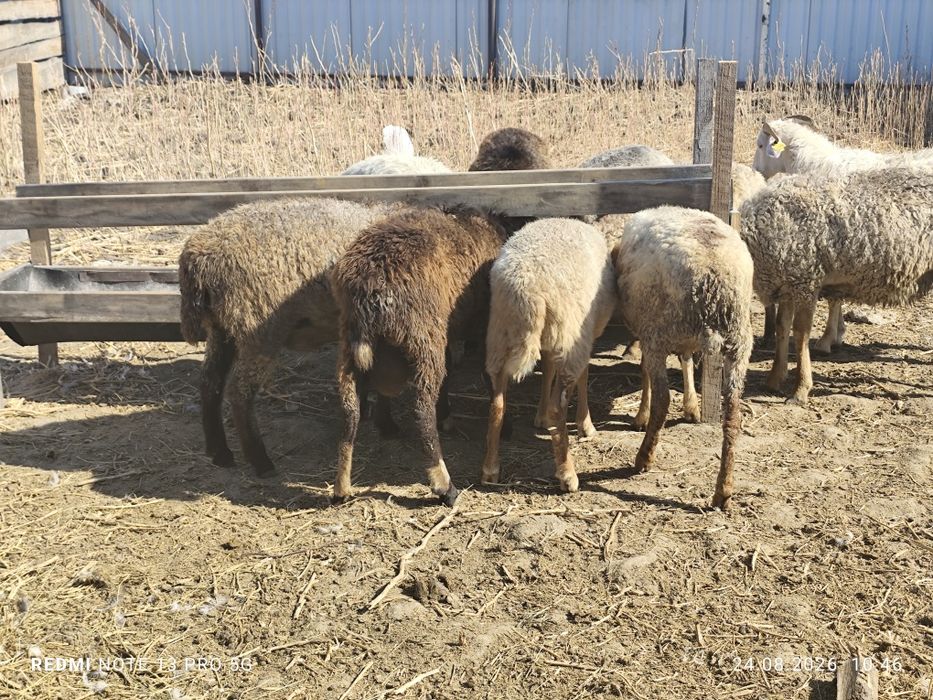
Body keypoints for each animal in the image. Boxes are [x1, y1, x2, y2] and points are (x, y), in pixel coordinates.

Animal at [331, 127, 550, 506]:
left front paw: (448, 413)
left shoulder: (452, 325)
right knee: (421, 408)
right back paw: (444, 484)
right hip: (421, 336)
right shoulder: (482, 322)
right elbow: (489, 378)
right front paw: (503, 426)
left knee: (350, 409)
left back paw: (343, 485)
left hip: (351, 340)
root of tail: (369, 288)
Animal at [480, 218, 616, 492]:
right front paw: (585, 425)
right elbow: (584, 376)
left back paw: (490, 470)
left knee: (497, 405)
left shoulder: (551, 341)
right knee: (559, 407)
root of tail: (528, 289)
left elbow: (547, 371)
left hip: (501, 335)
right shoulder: (585, 334)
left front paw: (540, 417)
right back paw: (567, 475)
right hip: (568, 333)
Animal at [613, 206, 754, 510]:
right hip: (739, 341)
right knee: (733, 413)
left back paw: (643, 458)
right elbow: (686, 360)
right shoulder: (682, 339)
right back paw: (723, 490)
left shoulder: (649, 333)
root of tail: (714, 277)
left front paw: (640, 416)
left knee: (663, 401)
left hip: (660, 332)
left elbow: (645, 372)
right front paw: (691, 407)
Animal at [739, 165, 933, 405]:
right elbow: (782, 327)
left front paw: (800, 390)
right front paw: (775, 379)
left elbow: (800, 333)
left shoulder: (806, 280)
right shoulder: (787, 285)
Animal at [753, 115, 933, 352]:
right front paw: (837, 333)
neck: (814, 163)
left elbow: (834, 299)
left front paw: (828, 338)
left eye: (760, 145)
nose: (755, 170)